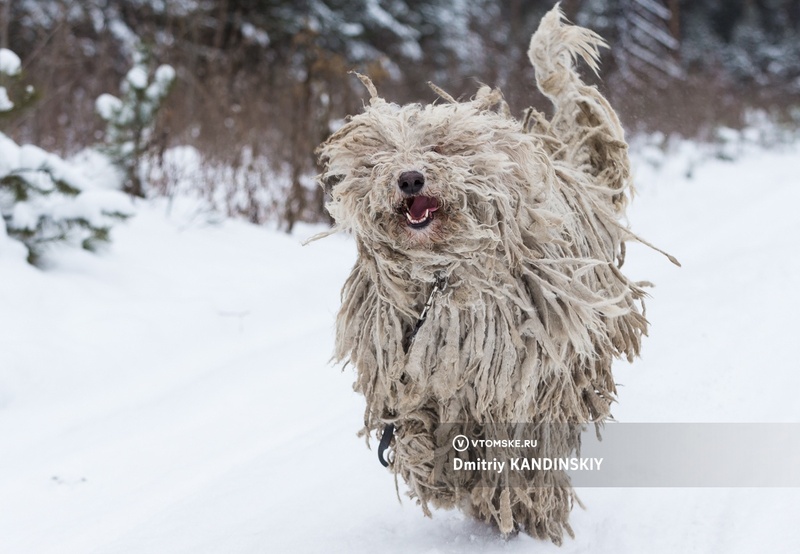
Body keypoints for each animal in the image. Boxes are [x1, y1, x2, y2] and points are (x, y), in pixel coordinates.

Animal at [312, 3, 676, 540]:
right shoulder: (404, 369)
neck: (436, 279)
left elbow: (516, 444)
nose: (410, 178)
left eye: (440, 148)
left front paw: (519, 503)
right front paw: (433, 467)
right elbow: (418, 425)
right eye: (383, 157)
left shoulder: (518, 380)